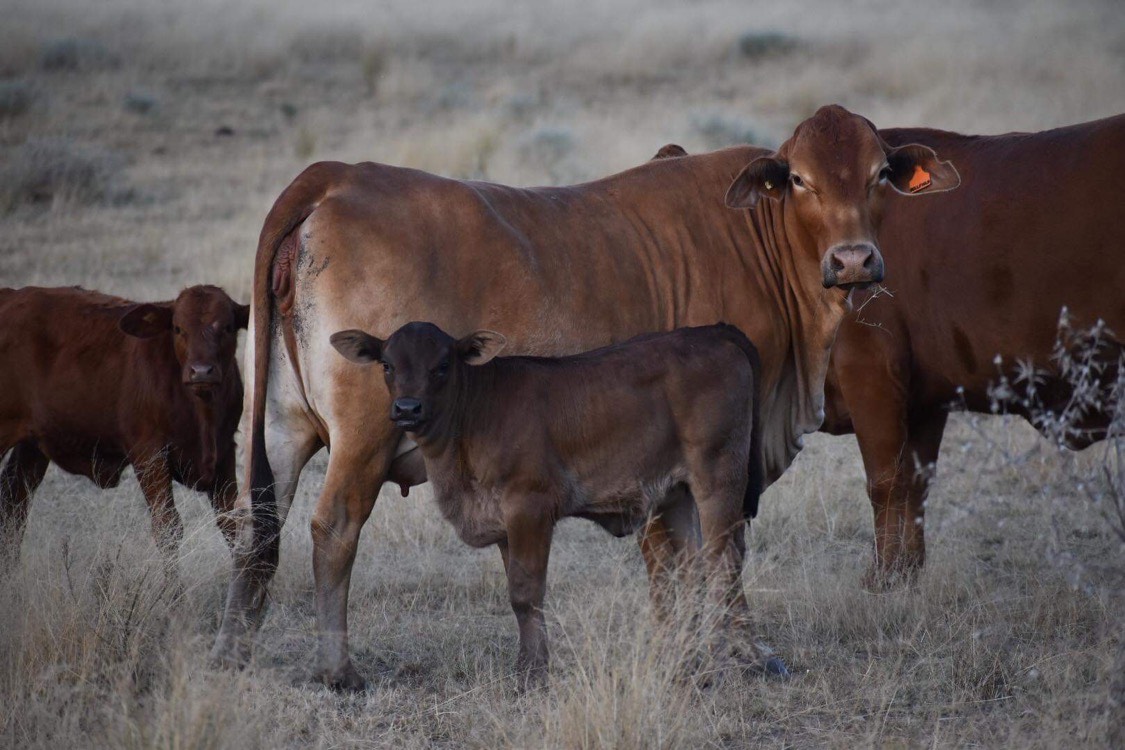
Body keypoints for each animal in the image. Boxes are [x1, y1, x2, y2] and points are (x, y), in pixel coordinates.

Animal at [0, 285, 249, 571]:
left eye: (228, 327)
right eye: (178, 328)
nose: (201, 371)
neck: (201, 413)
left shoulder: (225, 452)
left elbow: (232, 523)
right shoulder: (149, 455)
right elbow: (168, 528)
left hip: (32, 446)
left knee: (13, 504)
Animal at [329, 321, 774, 687]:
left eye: (442, 365)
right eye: (387, 364)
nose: (407, 408)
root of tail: (711, 331)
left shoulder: (530, 506)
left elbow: (527, 593)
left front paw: (533, 673)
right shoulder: (503, 523)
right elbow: (516, 594)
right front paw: (529, 664)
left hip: (718, 477)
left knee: (724, 564)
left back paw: (725, 662)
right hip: (676, 494)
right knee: (693, 569)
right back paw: (685, 663)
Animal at [818, 113, 1125, 587]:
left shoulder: (869, 372)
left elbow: (884, 482)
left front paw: (882, 579)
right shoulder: (924, 397)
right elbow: (916, 482)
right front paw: (907, 572)